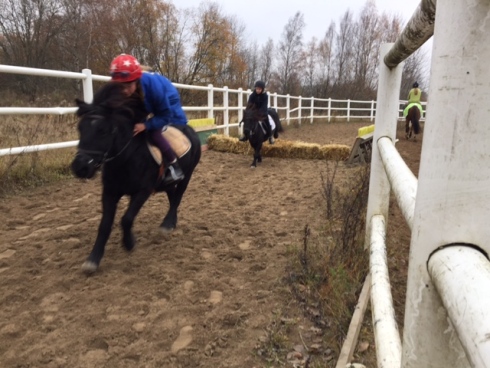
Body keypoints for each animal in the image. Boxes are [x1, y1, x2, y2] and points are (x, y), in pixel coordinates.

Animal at [70, 82, 200, 274]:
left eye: (103, 130)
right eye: (80, 128)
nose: (80, 167)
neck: (127, 158)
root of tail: (190, 131)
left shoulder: (143, 191)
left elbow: (126, 219)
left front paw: (129, 243)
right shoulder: (109, 193)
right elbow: (104, 225)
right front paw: (93, 259)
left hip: (187, 175)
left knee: (177, 198)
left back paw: (166, 224)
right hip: (168, 183)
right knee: (172, 196)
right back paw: (171, 222)